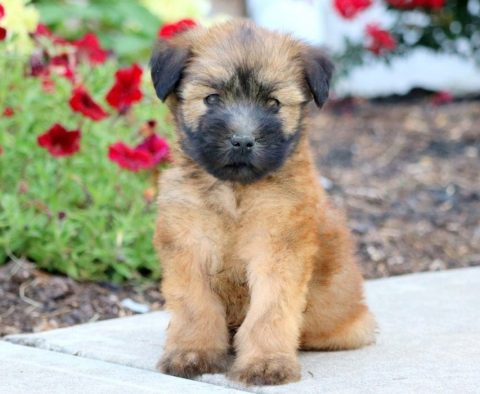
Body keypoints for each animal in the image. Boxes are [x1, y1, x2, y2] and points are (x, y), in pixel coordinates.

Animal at [149, 20, 376, 384]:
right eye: (212, 99)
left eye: (273, 103)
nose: (242, 141)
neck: (235, 192)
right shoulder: (189, 247)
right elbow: (195, 305)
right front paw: (192, 352)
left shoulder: (277, 250)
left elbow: (270, 311)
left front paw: (267, 363)